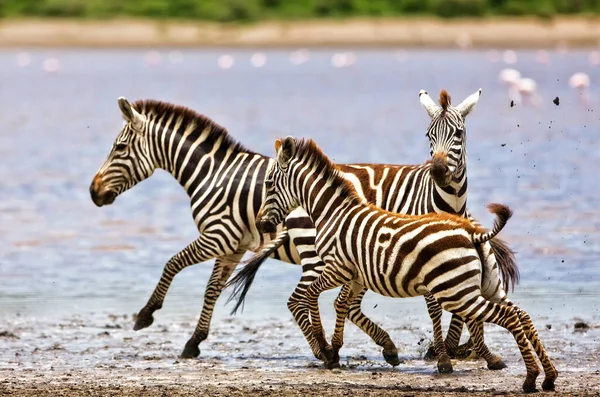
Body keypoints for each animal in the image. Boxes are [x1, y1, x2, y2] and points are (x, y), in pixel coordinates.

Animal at [227, 89, 516, 368]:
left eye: (458, 133)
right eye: (429, 135)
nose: (438, 171)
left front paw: (455, 348)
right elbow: (439, 306)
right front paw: (445, 352)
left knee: (341, 303)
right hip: (321, 259)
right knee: (302, 300)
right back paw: (328, 351)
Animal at [233, 135, 556, 392]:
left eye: (269, 184)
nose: (261, 224)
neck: (331, 212)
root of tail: (471, 232)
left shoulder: (336, 267)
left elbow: (311, 297)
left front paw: (324, 346)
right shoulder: (355, 275)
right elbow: (341, 304)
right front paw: (334, 349)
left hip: (457, 292)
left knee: (510, 317)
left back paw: (530, 379)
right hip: (485, 286)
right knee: (522, 315)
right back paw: (548, 376)